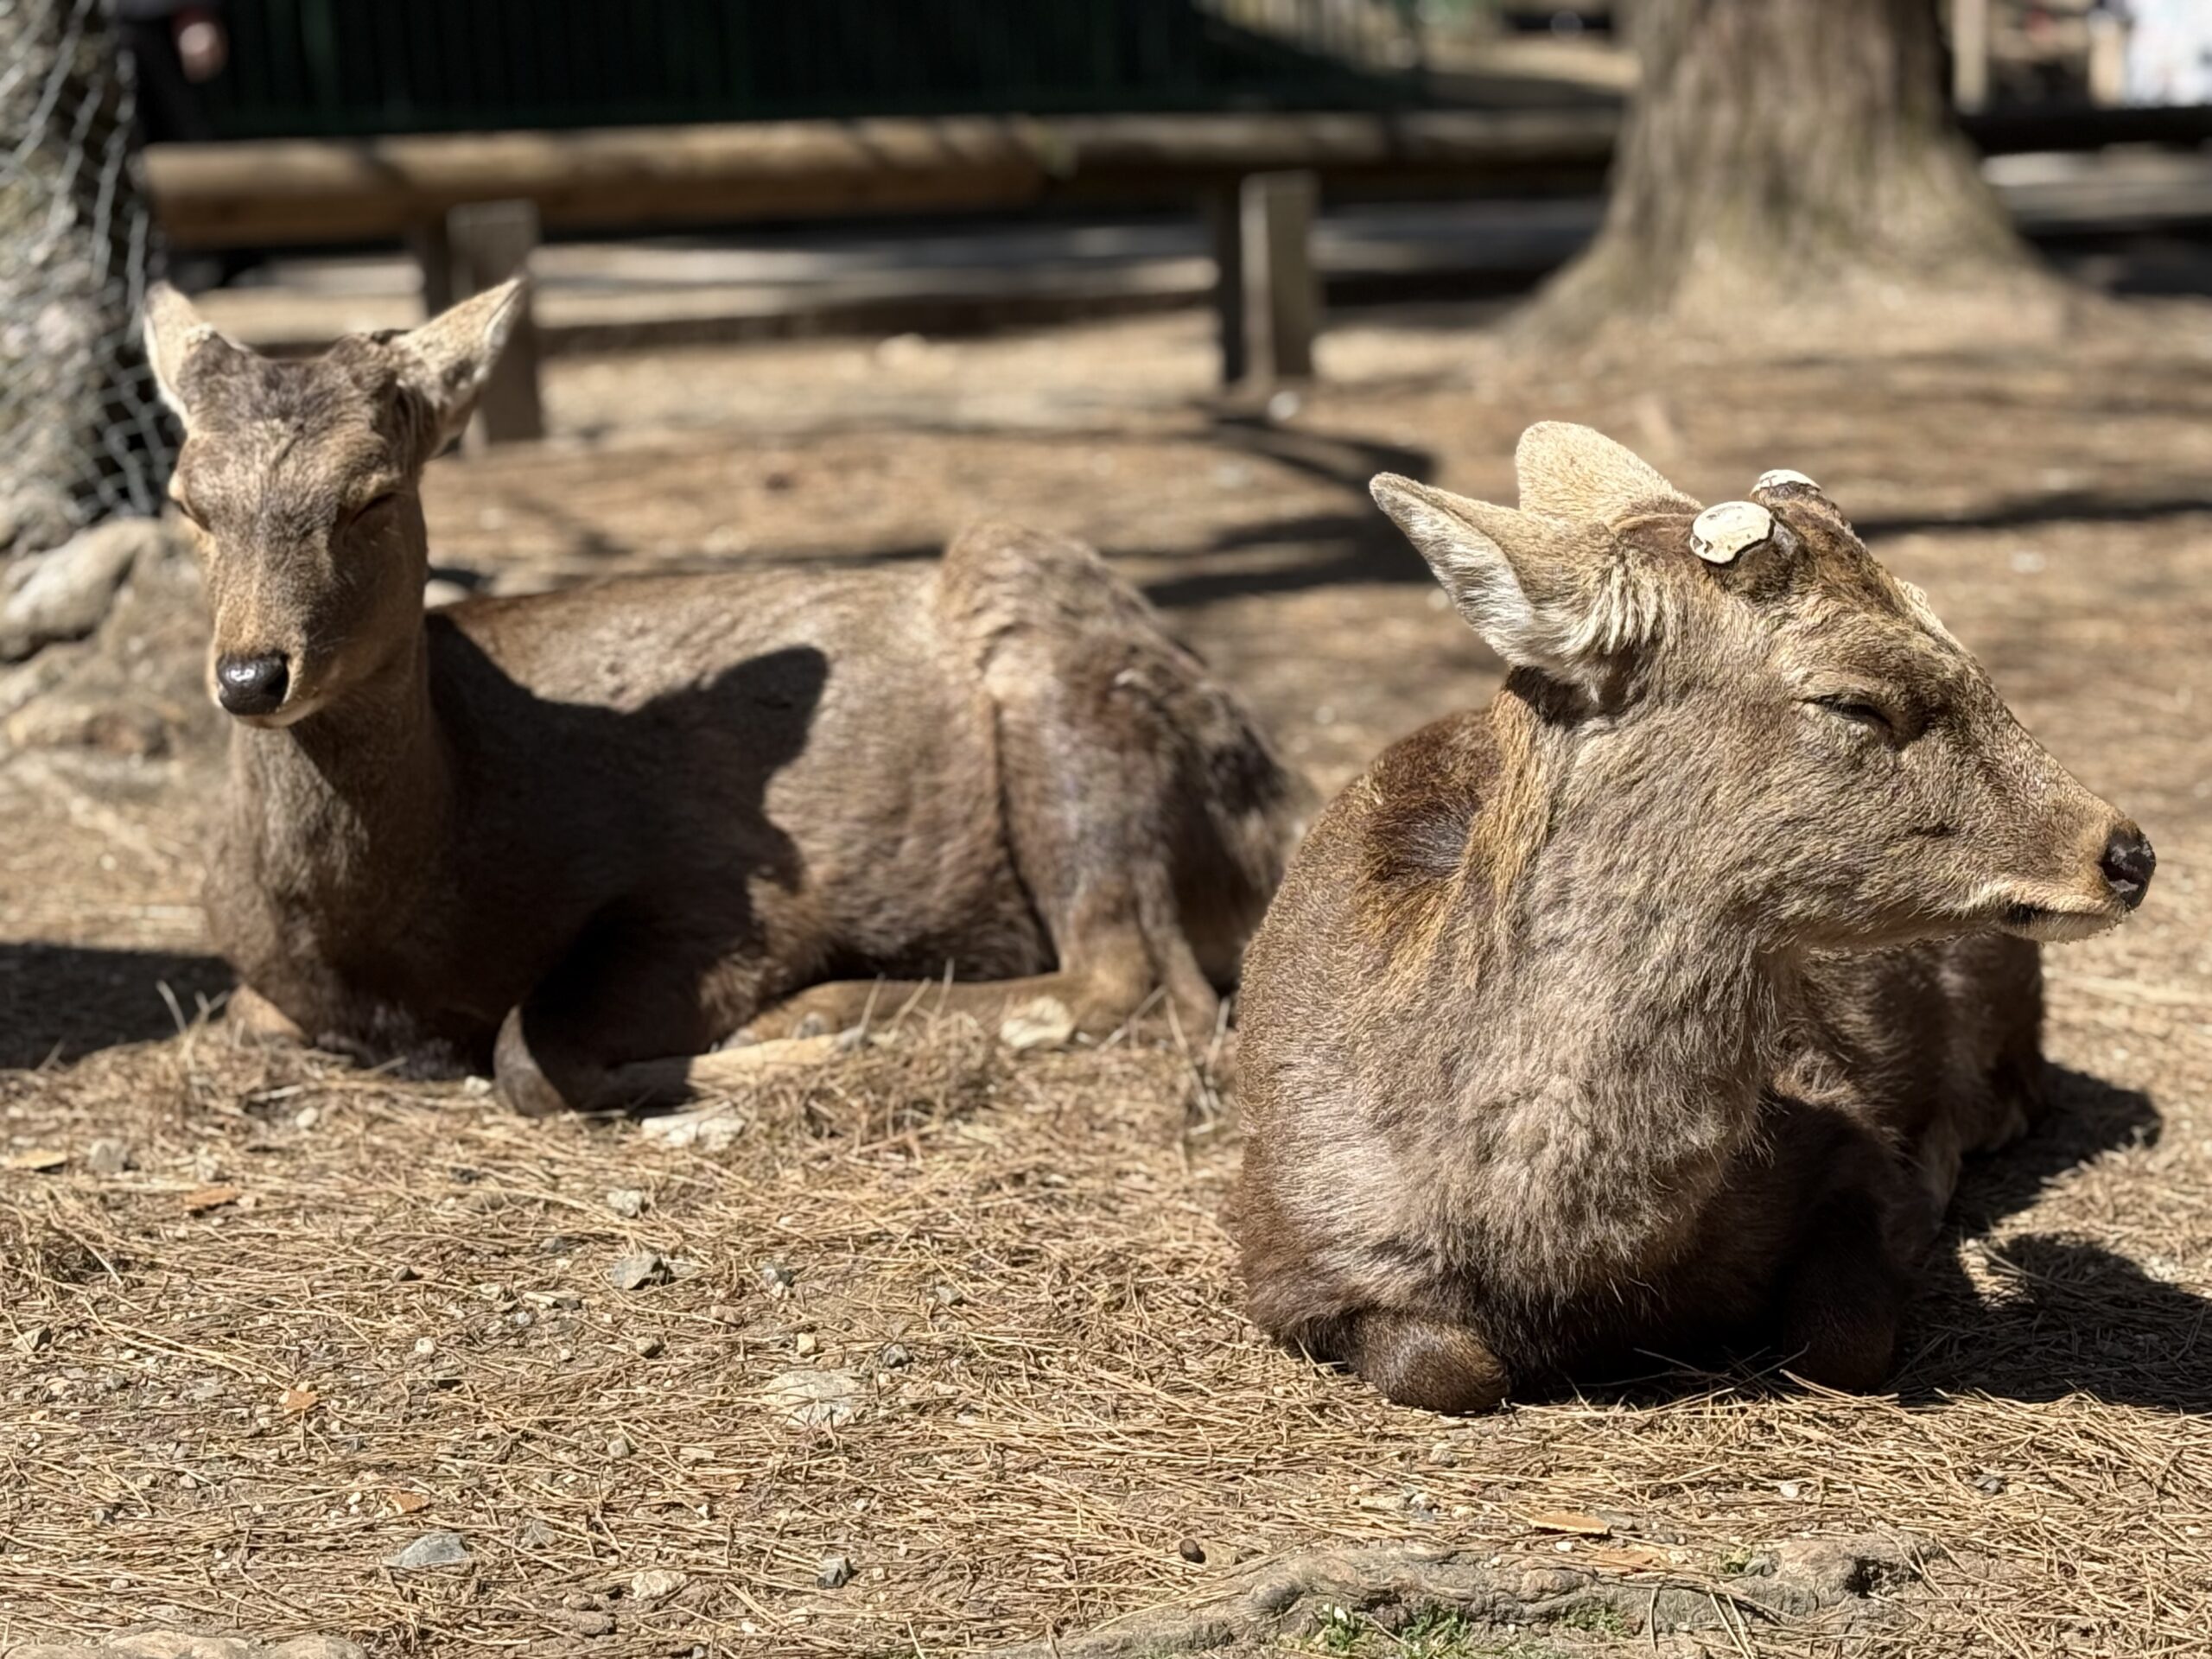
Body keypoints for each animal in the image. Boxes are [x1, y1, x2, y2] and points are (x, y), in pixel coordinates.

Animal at [142, 279, 1306, 1116]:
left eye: (373, 494)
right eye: (187, 501)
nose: (252, 674)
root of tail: (1279, 811)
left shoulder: (730, 901)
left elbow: (525, 1056)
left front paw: (769, 1046)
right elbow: (239, 1015)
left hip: (1062, 682)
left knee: (1133, 976)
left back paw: (822, 1013)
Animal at [1232, 423, 2155, 1413]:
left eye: (1966, 647)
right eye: (1852, 699)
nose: (2126, 852)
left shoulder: (1845, 1130)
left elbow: (1840, 1345)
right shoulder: (1279, 1244)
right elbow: (1445, 1367)